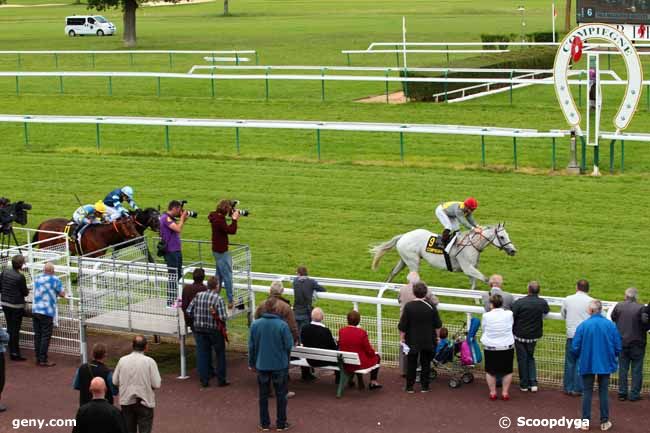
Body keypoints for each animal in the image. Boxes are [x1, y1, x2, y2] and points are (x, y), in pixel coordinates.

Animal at [370, 223, 516, 290]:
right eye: (502, 237)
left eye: (507, 235)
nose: (513, 251)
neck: (472, 245)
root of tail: (403, 236)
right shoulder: (467, 267)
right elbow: (485, 279)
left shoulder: (471, 269)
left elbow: (474, 284)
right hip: (413, 261)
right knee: (412, 277)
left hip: (404, 260)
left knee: (393, 272)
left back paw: (385, 287)